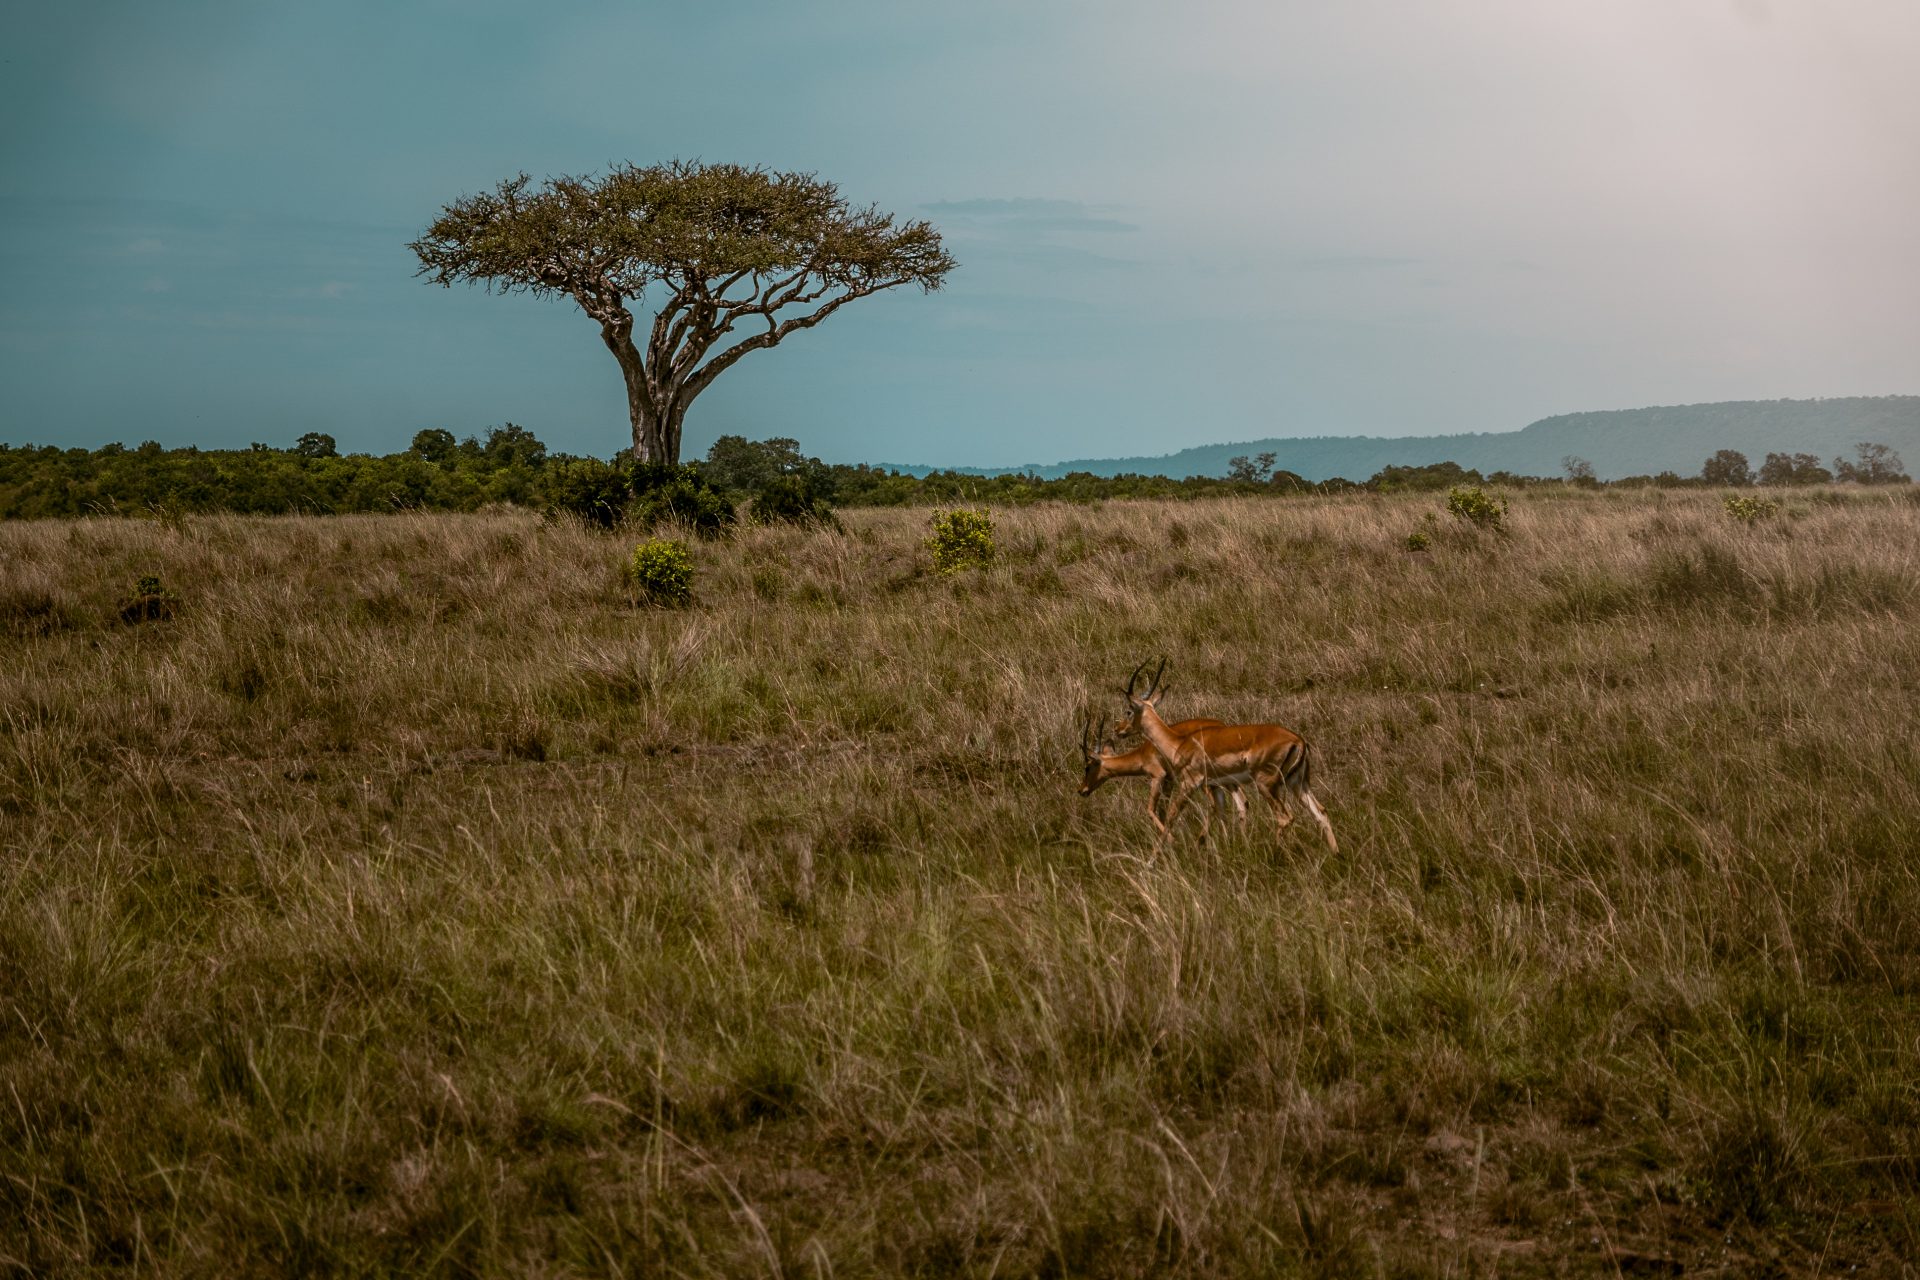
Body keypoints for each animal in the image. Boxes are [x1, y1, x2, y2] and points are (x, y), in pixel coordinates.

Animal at [1075, 717, 1251, 825]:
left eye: (1087, 766)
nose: (1081, 790)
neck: (1143, 753)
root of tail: (1223, 727)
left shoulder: (1158, 776)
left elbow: (1151, 810)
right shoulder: (1169, 781)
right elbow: (1163, 810)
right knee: (1241, 800)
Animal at [1121, 660, 1336, 852]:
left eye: (1129, 711)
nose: (1119, 730)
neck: (1179, 743)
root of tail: (1298, 740)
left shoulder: (1189, 783)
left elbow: (1171, 817)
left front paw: (1152, 860)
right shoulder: (1215, 785)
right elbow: (1221, 813)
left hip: (1266, 784)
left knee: (1285, 818)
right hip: (1297, 783)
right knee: (1321, 813)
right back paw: (1335, 854)